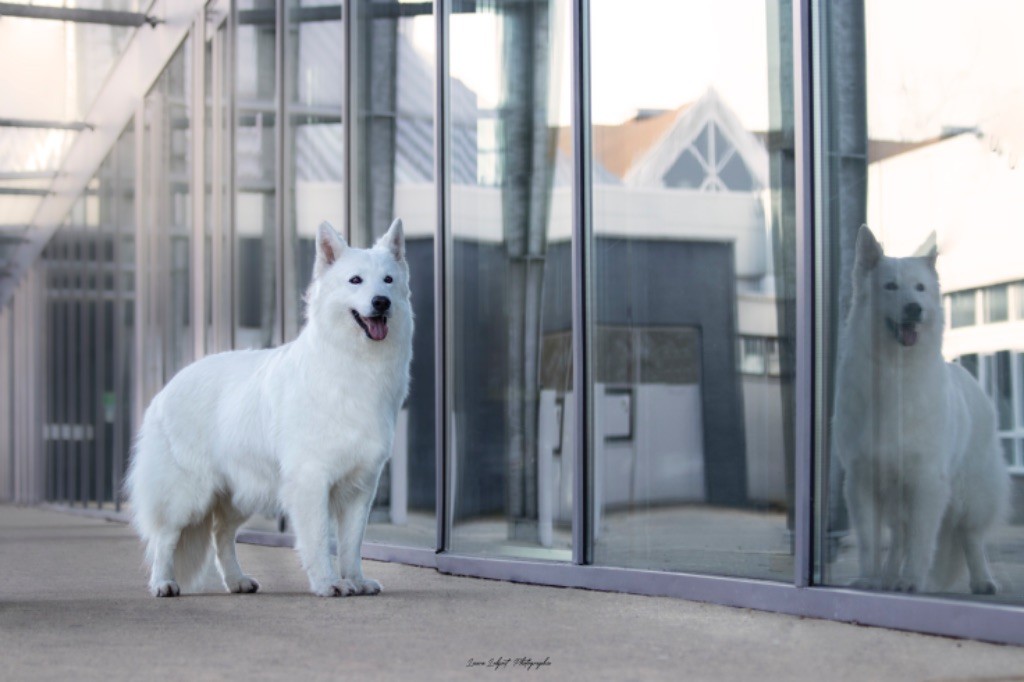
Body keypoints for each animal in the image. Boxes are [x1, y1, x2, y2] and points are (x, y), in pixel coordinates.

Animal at [125, 219, 413, 593]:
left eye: (388, 280)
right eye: (356, 280)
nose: (381, 302)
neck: (353, 365)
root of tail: (166, 387)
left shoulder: (361, 487)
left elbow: (352, 544)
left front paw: (356, 581)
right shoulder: (311, 480)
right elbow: (319, 540)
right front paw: (328, 584)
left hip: (240, 494)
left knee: (221, 534)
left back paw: (237, 581)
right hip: (186, 496)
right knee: (166, 538)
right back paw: (163, 584)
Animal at [831, 225, 1007, 593]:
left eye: (921, 288)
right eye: (890, 286)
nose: (914, 308)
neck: (894, 373)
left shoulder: (926, 482)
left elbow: (922, 540)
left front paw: (912, 581)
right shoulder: (862, 480)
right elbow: (870, 540)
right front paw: (868, 579)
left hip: (971, 493)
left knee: (970, 536)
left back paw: (982, 580)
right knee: (899, 537)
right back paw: (887, 577)